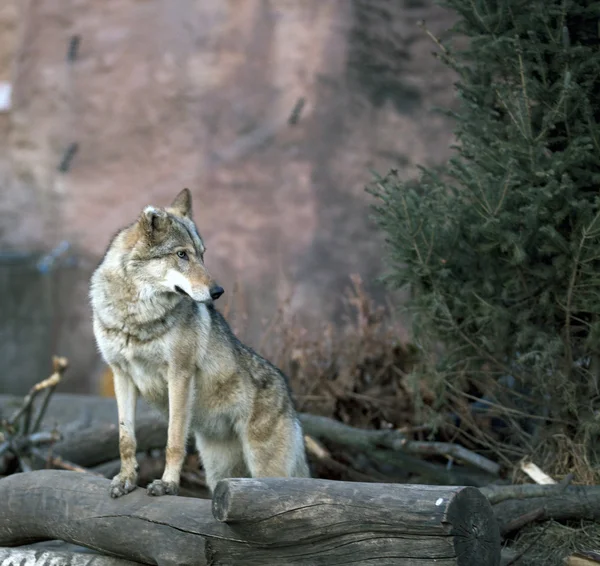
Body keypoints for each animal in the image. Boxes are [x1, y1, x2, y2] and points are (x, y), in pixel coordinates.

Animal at [91, 189, 312, 500]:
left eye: (202, 254)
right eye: (181, 254)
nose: (217, 291)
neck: (137, 318)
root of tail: (290, 398)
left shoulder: (179, 374)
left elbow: (173, 440)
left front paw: (168, 484)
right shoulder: (121, 375)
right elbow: (126, 439)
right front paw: (126, 479)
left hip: (266, 470)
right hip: (219, 471)